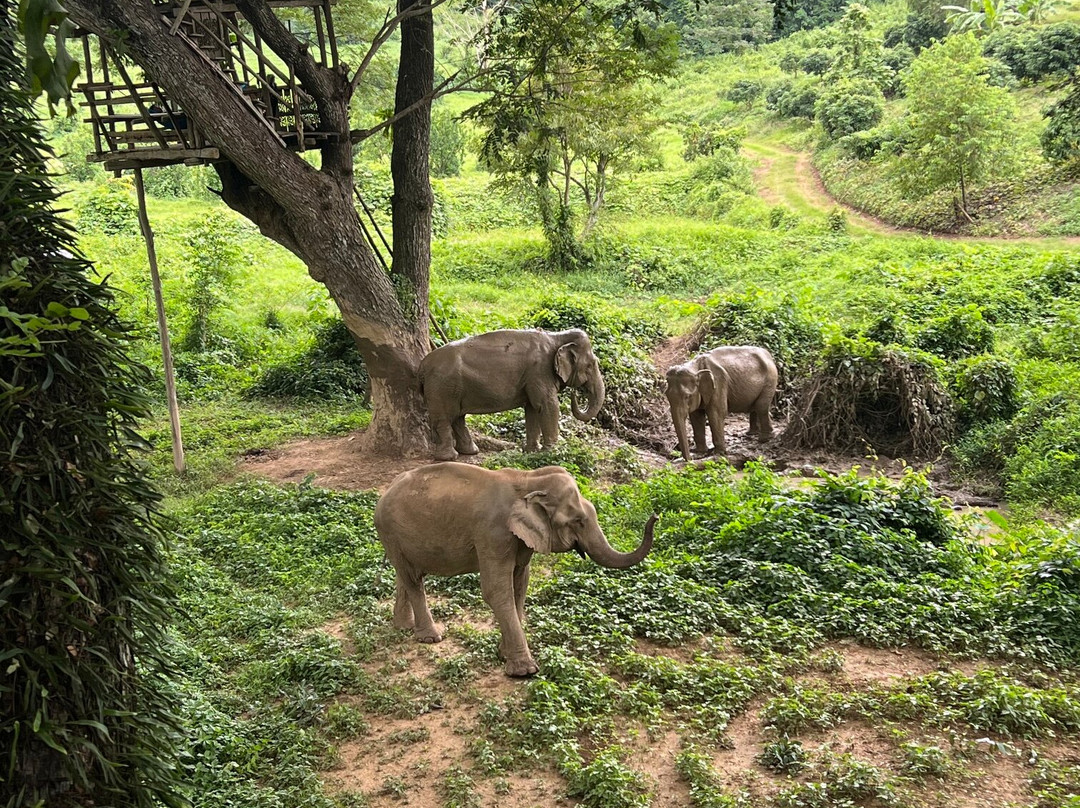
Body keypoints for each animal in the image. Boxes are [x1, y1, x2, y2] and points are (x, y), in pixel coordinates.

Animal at [374, 462, 655, 677]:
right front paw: (525, 672)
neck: (527, 478)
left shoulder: (520, 540)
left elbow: (520, 583)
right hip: (391, 530)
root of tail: (385, 492)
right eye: (578, 521)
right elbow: (496, 591)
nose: (655, 516)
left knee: (406, 575)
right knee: (413, 579)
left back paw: (403, 627)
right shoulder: (493, 533)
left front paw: (503, 653)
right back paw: (430, 638)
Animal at [418, 329, 606, 461]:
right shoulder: (539, 372)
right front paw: (552, 452)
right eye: (591, 365)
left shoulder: (533, 378)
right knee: (444, 420)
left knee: (458, 418)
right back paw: (448, 457)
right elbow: (547, 405)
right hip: (442, 388)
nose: (575, 394)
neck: (556, 336)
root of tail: (423, 365)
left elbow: (532, 408)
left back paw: (470, 452)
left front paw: (531, 451)